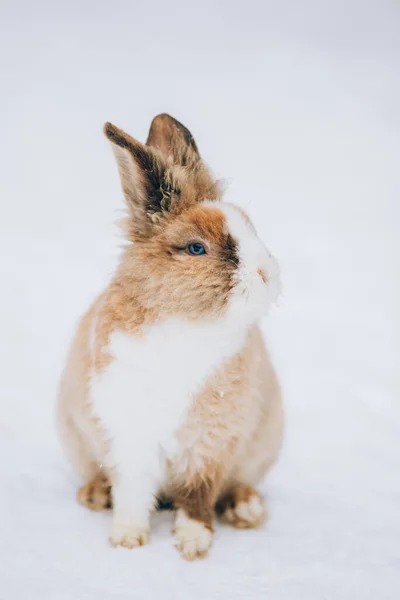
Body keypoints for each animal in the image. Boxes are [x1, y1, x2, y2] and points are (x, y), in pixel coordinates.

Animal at [57, 115, 284, 560]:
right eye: (196, 248)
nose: (267, 274)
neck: (187, 322)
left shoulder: (211, 443)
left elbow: (197, 495)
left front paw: (193, 545)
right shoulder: (129, 433)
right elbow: (132, 491)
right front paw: (127, 539)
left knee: (235, 485)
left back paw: (246, 509)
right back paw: (94, 495)